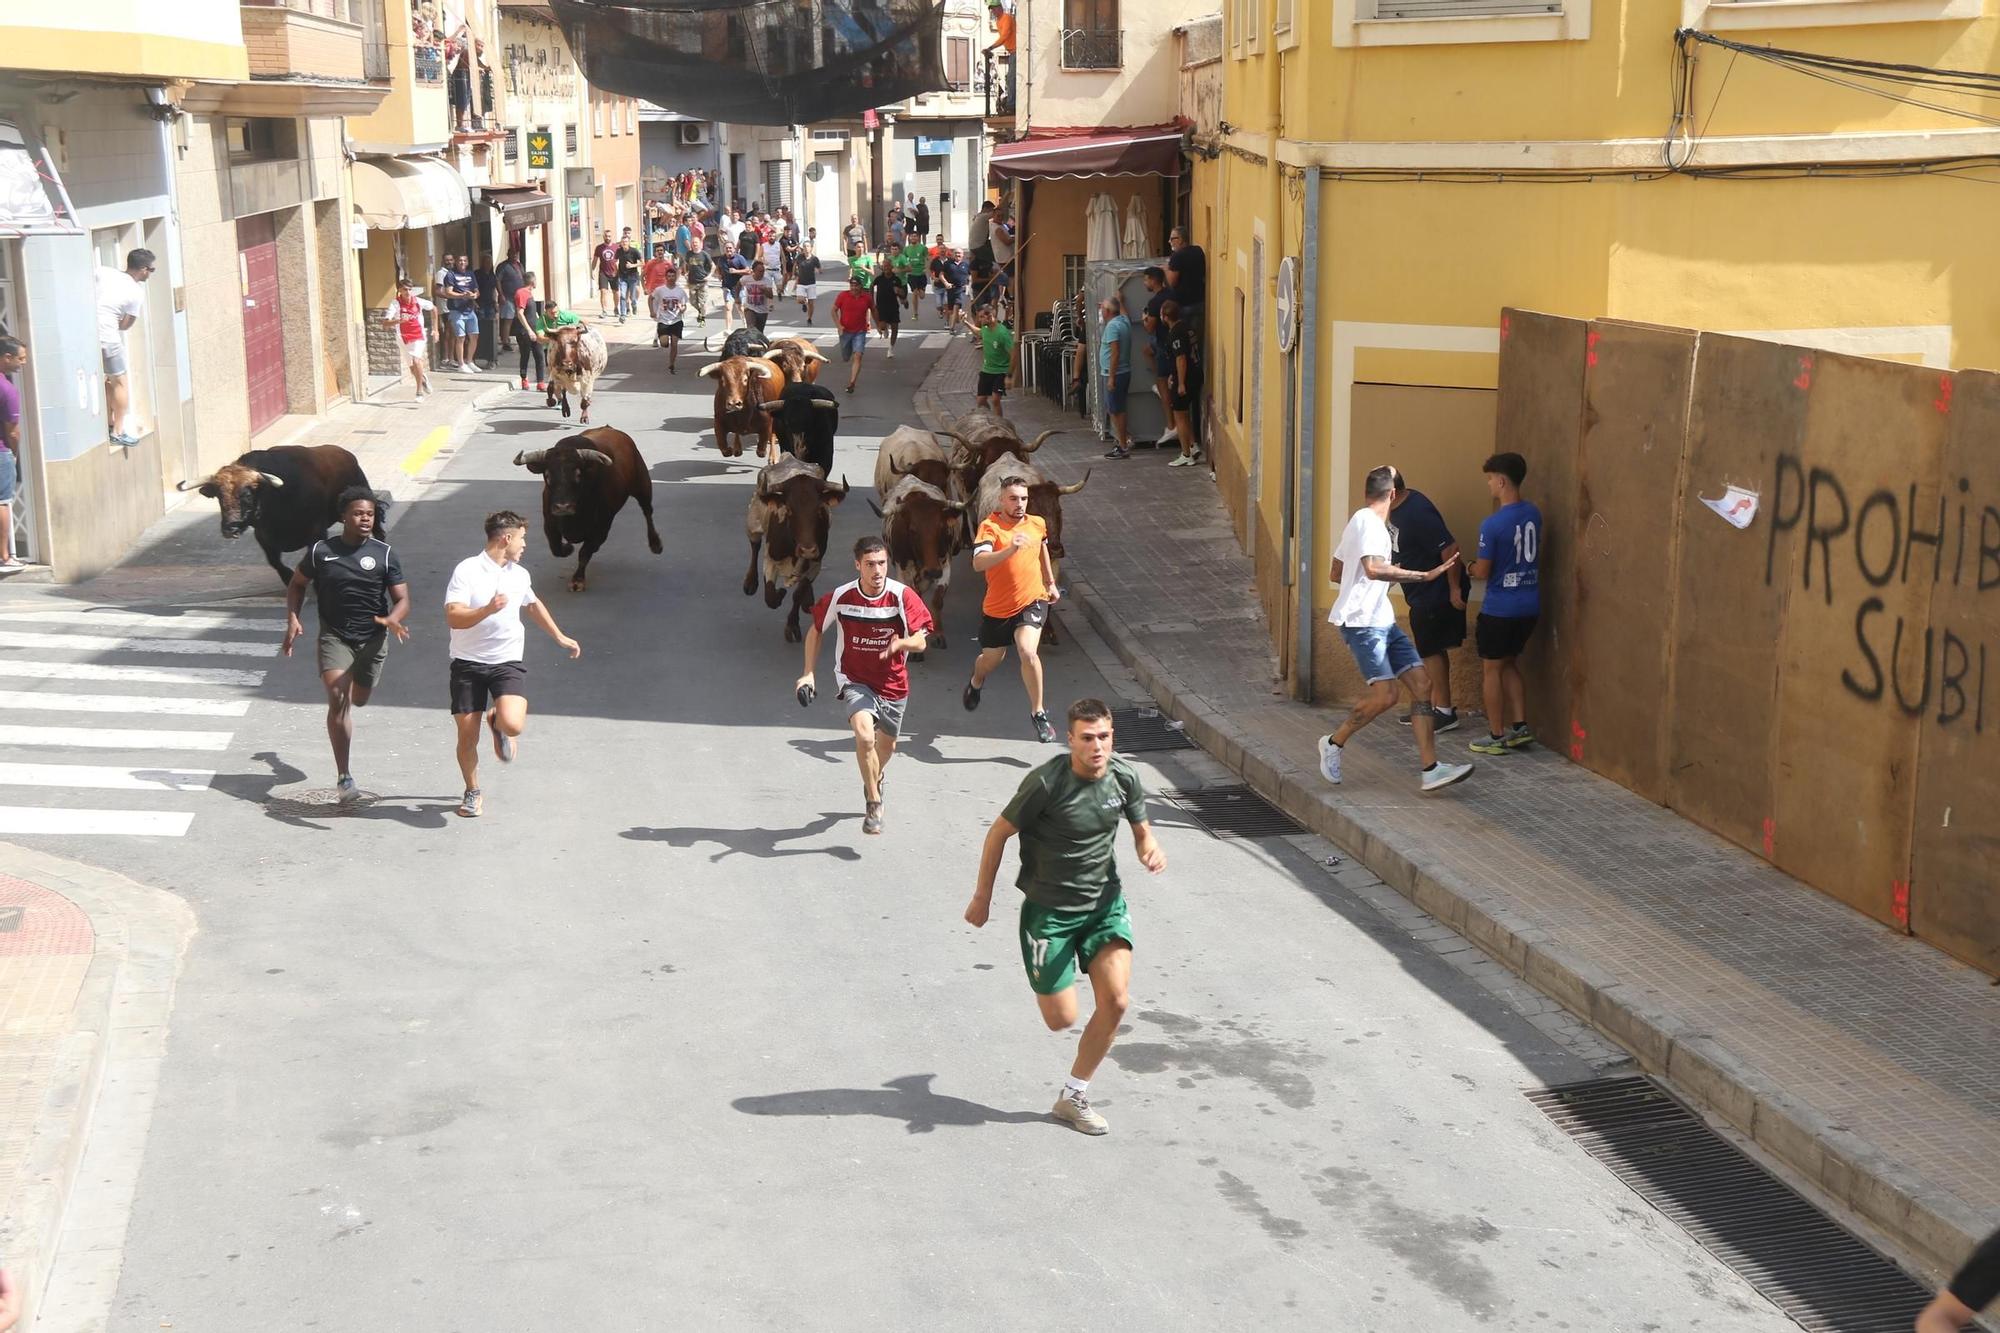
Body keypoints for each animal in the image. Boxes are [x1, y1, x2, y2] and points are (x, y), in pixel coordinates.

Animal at [748, 452, 848, 644]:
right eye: (789, 510)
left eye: (819, 510)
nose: (807, 549)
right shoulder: (770, 560)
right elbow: (770, 596)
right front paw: (779, 593)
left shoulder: (816, 564)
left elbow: (798, 593)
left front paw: (792, 626)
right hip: (753, 523)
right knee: (754, 545)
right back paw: (749, 582)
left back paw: (808, 600)